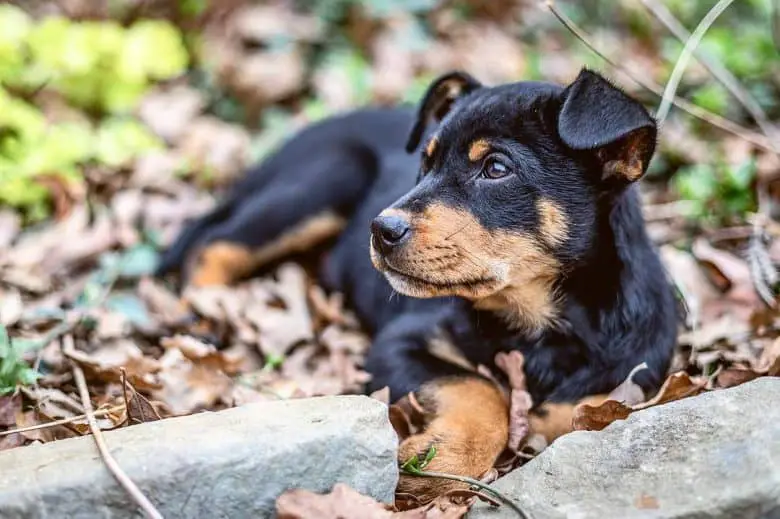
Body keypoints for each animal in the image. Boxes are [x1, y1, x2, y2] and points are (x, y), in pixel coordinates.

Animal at [157, 70, 676, 504]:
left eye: (496, 168)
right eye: (424, 164)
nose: (380, 228)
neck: (540, 324)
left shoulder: (631, 376)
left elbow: (572, 410)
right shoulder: (399, 342)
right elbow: (477, 387)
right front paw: (431, 461)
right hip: (320, 181)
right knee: (214, 244)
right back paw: (202, 314)